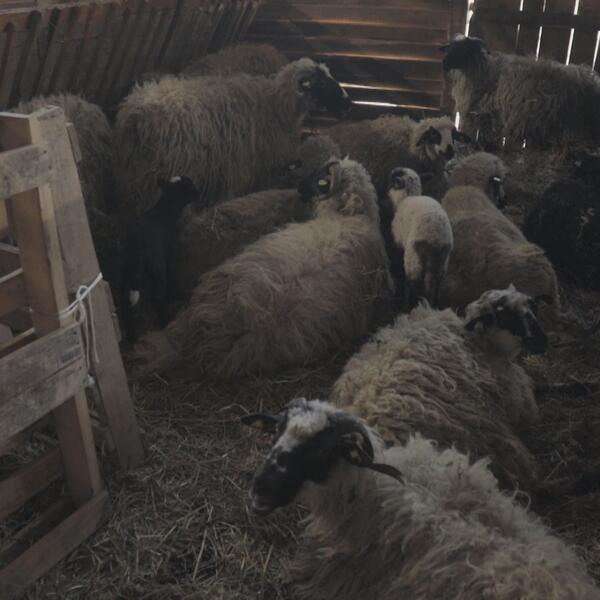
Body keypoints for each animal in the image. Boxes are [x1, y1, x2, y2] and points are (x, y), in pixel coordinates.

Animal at [114, 58, 351, 216]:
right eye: (320, 82)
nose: (348, 102)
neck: (276, 106)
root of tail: (135, 116)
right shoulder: (241, 171)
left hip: (137, 174)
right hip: (159, 172)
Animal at [121, 176, 200, 343]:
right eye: (189, 184)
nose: (199, 194)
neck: (164, 211)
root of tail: (139, 245)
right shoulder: (168, 253)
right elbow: (171, 272)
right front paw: (176, 293)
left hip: (126, 272)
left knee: (125, 304)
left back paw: (132, 337)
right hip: (156, 270)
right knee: (157, 298)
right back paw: (166, 322)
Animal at [387, 167, 453, 309]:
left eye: (392, 180)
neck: (406, 197)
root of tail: (435, 237)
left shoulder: (398, 240)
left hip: (413, 257)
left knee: (414, 284)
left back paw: (410, 306)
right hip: (442, 262)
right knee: (436, 284)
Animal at [441, 34, 600, 151]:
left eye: (464, 50)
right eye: (451, 48)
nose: (444, 65)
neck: (484, 70)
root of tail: (590, 80)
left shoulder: (488, 112)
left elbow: (488, 134)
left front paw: (485, 147)